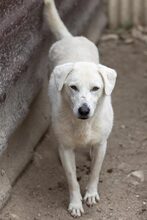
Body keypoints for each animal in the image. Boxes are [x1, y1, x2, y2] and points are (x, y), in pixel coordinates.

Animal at [44, 0, 117, 217]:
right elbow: (72, 180)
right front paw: (76, 204)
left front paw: (91, 194)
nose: (84, 110)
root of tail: (70, 38)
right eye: (73, 87)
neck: (84, 126)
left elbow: (95, 171)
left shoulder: (101, 144)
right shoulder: (67, 149)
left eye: (95, 88)